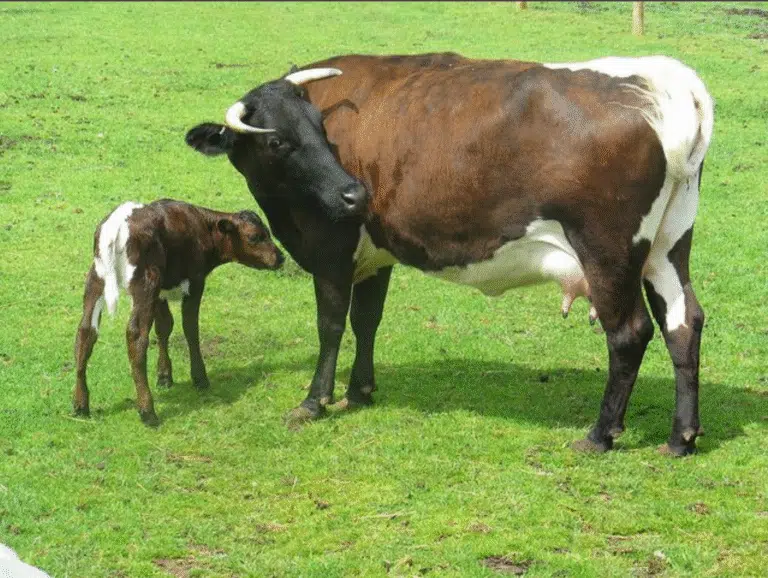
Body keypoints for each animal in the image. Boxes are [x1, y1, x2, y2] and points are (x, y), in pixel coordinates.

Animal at [73, 199, 284, 426]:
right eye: (254, 236)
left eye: (268, 232)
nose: (280, 257)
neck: (203, 226)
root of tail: (119, 221)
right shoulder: (195, 281)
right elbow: (190, 328)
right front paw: (199, 378)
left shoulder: (161, 293)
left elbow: (164, 327)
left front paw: (164, 376)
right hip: (146, 281)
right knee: (136, 335)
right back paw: (147, 411)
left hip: (96, 278)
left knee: (85, 331)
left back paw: (80, 404)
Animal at [185, 53, 714, 455]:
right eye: (278, 139)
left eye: (319, 126)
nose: (354, 195)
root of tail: (663, 78)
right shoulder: (374, 254)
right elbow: (366, 320)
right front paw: (360, 391)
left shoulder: (331, 248)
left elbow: (331, 325)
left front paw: (315, 401)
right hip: (667, 245)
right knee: (684, 321)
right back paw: (681, 437)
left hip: (608, 251)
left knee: (629, 333)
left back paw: (600, 435)